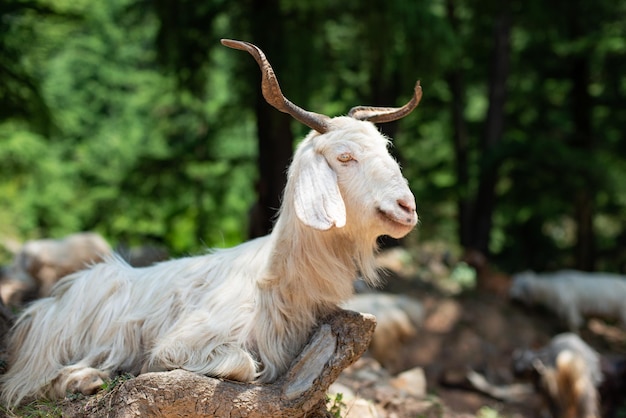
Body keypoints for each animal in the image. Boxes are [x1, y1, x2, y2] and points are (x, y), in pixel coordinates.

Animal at [1, 40, 420, 408]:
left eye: (386, 150)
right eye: (344, 156)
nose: (407, 208)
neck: (277, 282)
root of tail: (41, 308)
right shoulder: (185, 341)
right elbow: (243, 365)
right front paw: (144, 369)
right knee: (26, 384)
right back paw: (85, 379)